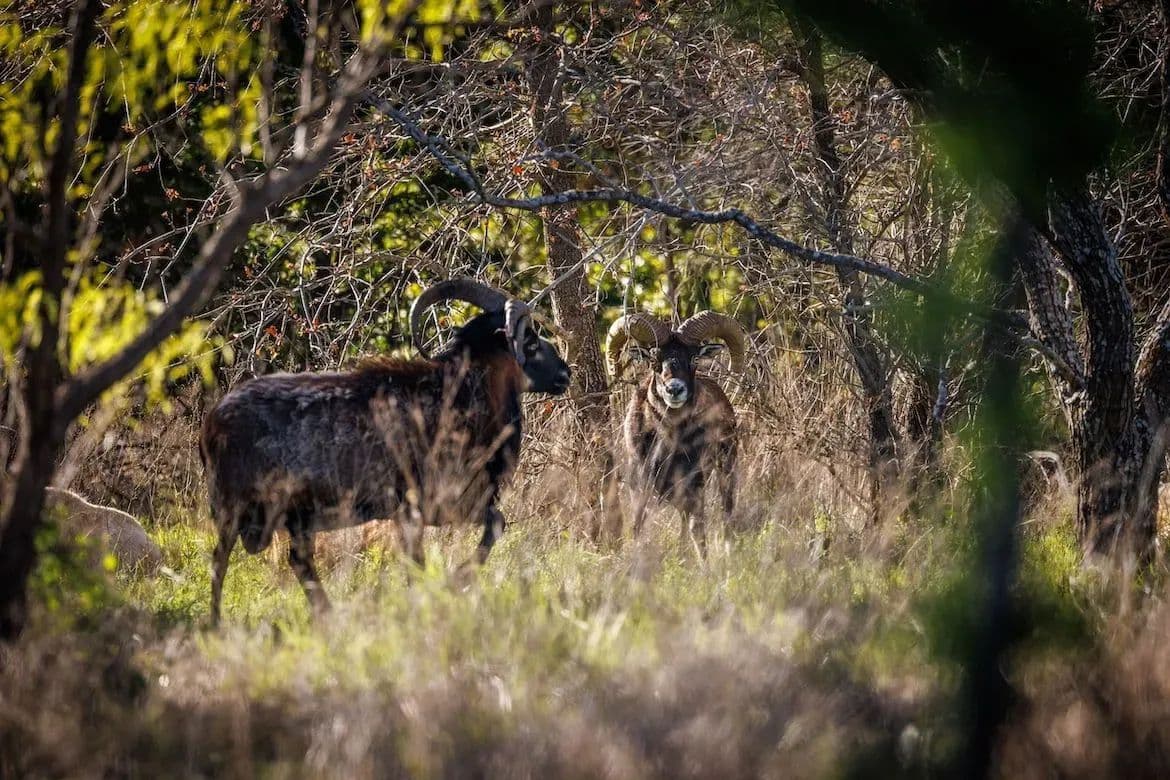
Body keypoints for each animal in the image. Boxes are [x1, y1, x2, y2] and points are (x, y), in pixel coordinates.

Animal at [200, 279, 571, 620]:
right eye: (530, 342)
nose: (565, 374)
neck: (457, 394)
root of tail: (212, 422)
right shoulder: (415, 507)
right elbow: (423, 558)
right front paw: (445, 588)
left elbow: (494, 523)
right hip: (232, 507)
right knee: (220, 561)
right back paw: (216, 623)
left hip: (295, 518)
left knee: (298, 561)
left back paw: (327, 615)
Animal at [606, 311, 747, 553]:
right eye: (654, 360)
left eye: (694, 359)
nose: (674, 389)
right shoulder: (640, 488)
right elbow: (638, 528)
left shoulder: (695, 486)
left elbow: (698, 532)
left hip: (725, 470)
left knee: (726, 513)